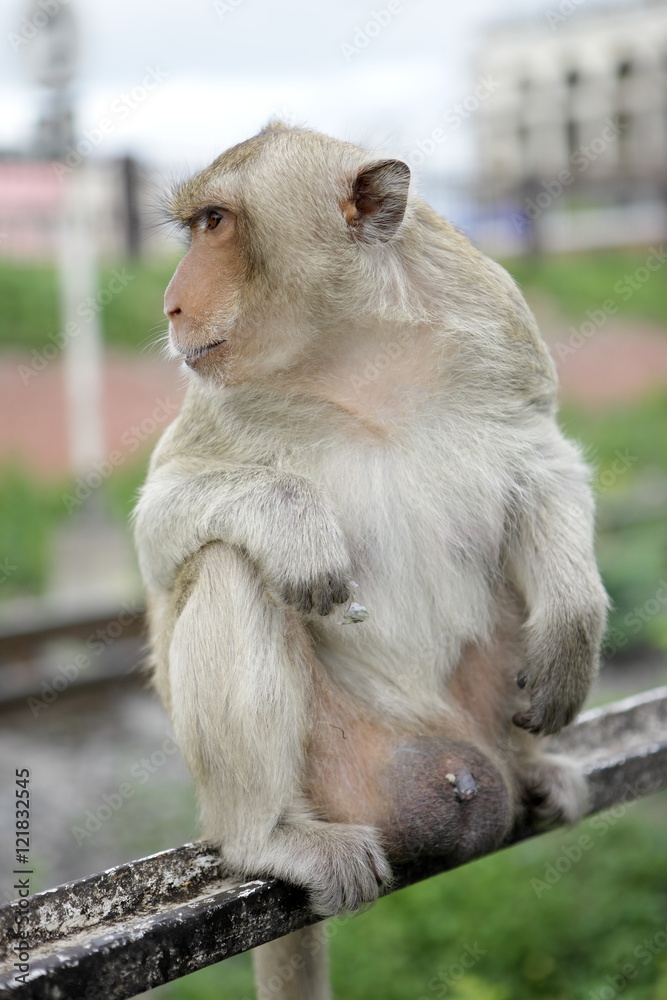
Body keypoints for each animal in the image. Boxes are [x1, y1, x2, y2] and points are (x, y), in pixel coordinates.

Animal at [133, 123, 608, 1000]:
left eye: (214, 222)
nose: (173, 303)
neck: (354, 355)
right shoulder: (215, 402)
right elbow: (161, 524)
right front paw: (295, 526)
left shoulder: (500, 328)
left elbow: (541, 459)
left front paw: (572, 624)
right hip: (332, 767)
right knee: (229, 566)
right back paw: (267, 836)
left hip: (470, 711)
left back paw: (529, 768)